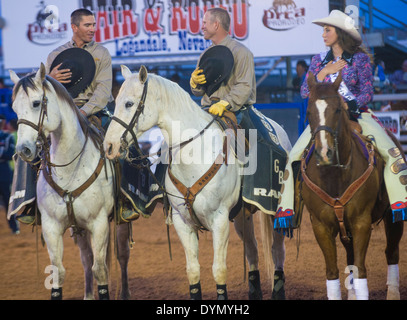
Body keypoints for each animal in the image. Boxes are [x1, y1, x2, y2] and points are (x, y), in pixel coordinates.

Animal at [9, 65, 131, 300]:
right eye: (14, 107)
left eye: (36, 103)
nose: (23, 150)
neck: (71, 168)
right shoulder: (51, 227)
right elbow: (59, 271)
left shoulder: (99, 223)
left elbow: (101, 269)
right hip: (79, 228)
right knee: (86, 258)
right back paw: (88, 294)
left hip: (120, 222)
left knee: (121, 256)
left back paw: (125, 293)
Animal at [105, 65, 290, 300]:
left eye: (129, 103)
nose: (109, 145)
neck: (195, 152)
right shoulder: (182, 221)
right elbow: (193, 271)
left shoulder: (219, 220)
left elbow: (219, 270)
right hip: (242, 215)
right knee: (252, 249)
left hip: (274, 212)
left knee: (277, 250)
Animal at [302, 72, 404, 300]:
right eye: (309, 111)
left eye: (338, 109)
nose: (324, 153)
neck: (335, 175)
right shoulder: (320, 226)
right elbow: (332, 272)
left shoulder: (361, 222)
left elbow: (360, 270)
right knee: (349, 259)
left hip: (393, 216)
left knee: (391, 253)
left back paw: (393, 292)